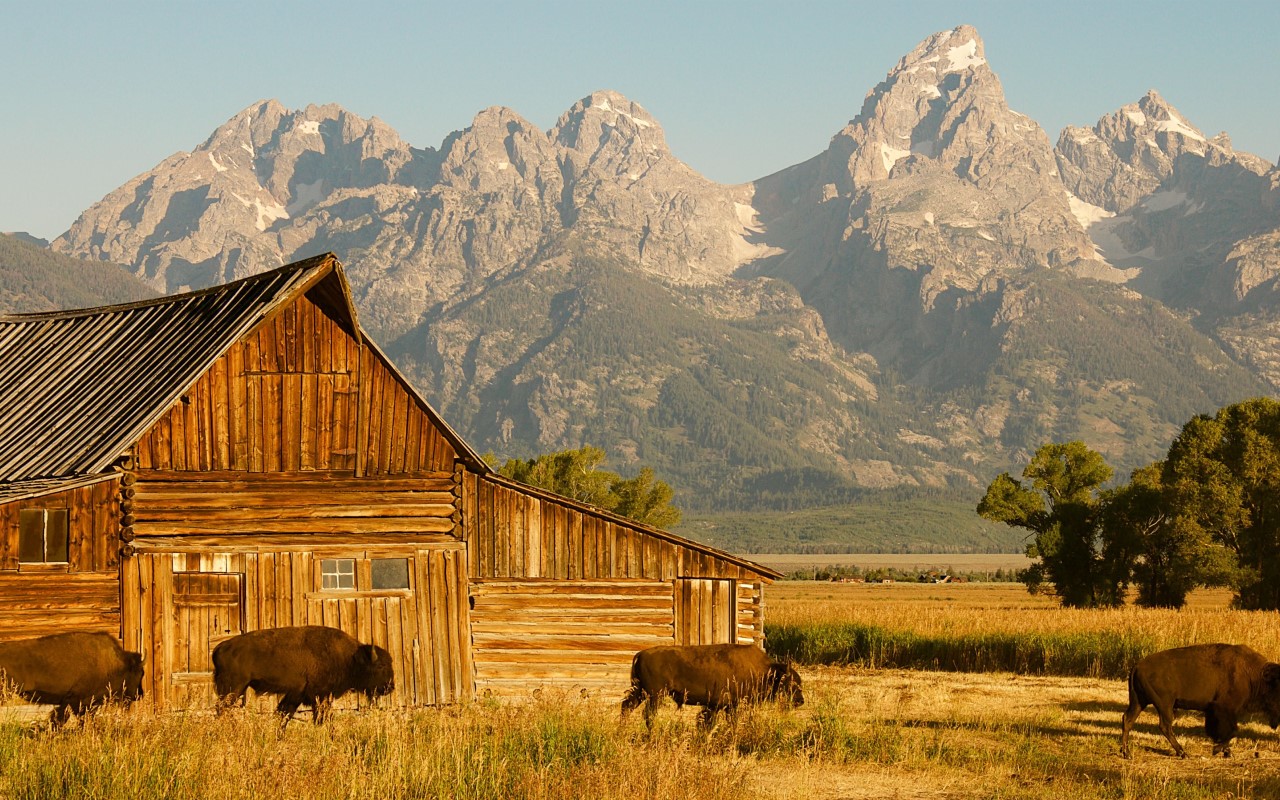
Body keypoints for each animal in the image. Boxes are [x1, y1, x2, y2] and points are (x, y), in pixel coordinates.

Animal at [212, 624, 391, 732]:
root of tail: (221, 647)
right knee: (222, 709)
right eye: (381, 666)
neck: (350, 658)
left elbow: (284, 714)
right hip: (233, 688)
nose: (390, 687)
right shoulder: (319, 696)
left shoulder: (297, 694)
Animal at [616, 640, 798, 727]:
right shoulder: (725, 705)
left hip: (641, 692)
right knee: (648, 714)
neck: (764, 670)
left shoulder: (718, 706)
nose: (800, 700)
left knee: (626, 706)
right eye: (791, 683)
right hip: (655, 695)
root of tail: (640, 654)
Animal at [1116, 642, 1280, 752]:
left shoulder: (1213, 711)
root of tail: (1137, 666)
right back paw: (1182, 752)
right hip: (1164, 704)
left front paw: (1223, 748)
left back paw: (1126, 752)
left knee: (1128, 719)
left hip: (1139, 702)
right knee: (1164, 725)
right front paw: (1218, 749)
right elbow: (1233, 730)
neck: (1254, 674)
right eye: (1277, 688)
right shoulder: (1225, 709)